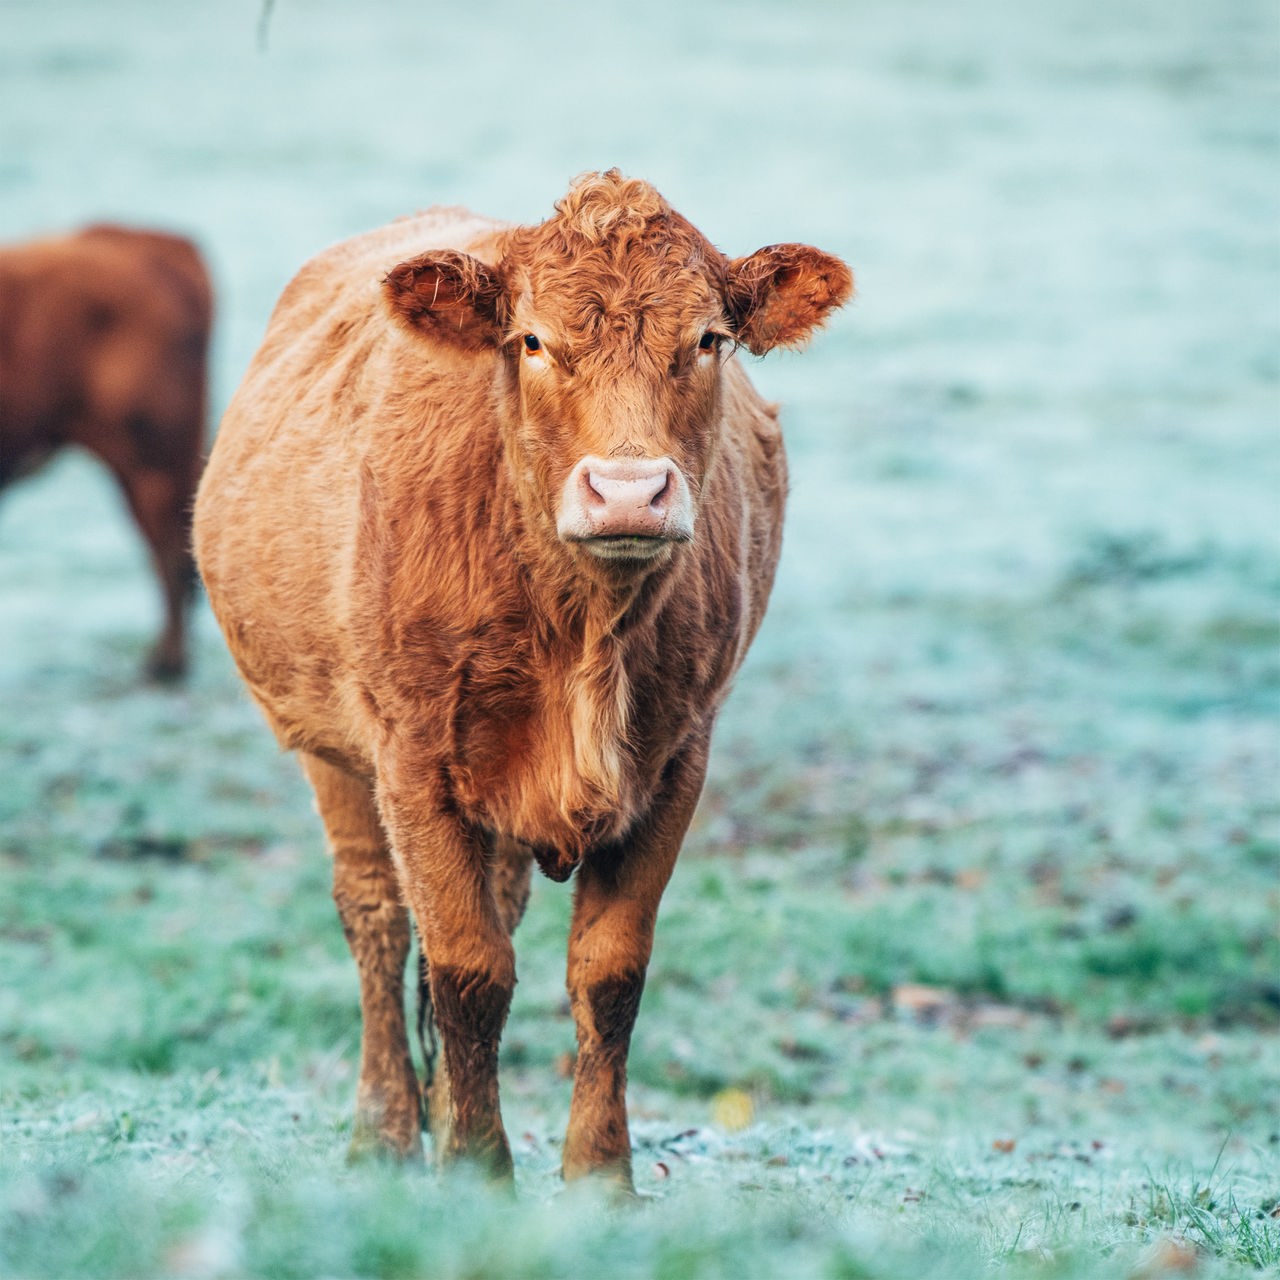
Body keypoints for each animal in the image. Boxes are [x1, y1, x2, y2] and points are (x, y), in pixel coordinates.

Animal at [192, 170, 849, 1187]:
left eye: (709, 339)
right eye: (533, 341)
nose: (628, 492)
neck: (581, 631)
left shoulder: (677, 760)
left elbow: (608, 972)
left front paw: (599, 1178)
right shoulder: (411, 760)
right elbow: (469, 971)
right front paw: (474, 1171)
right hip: (334, 755)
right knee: (378, 919)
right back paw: (385, 1132)